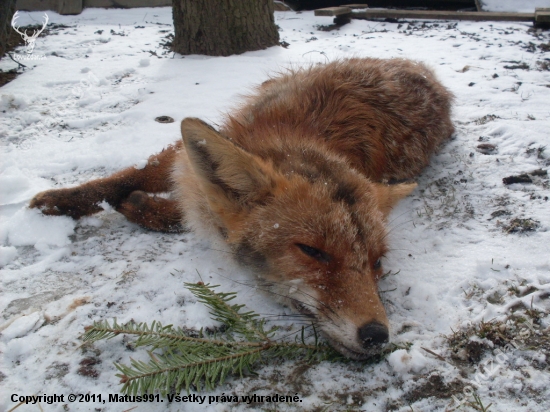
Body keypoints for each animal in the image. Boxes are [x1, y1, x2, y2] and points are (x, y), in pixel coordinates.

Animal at [29, 58, 458, 360]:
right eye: (312, 251)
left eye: (376, 262)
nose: (376, 335)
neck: (298, 135)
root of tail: (430, 76)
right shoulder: (189, 153)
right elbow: (134, 174)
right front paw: (63, 199)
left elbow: (173, 212)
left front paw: (139, 206)